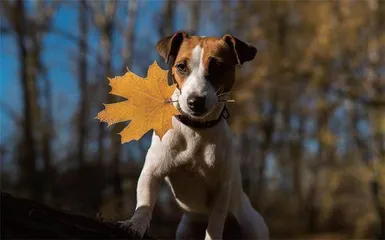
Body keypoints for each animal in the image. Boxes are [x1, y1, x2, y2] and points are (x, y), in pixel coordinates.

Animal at [120, 31, 268, 240]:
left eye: (218, 67)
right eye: (181, 66)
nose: (195, 101)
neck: (196, 130)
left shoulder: (222, 188)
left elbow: (215, 223)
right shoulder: (153, 172)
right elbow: (145, 203)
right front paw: (135, 224)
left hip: (252, 226)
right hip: (186, 229)